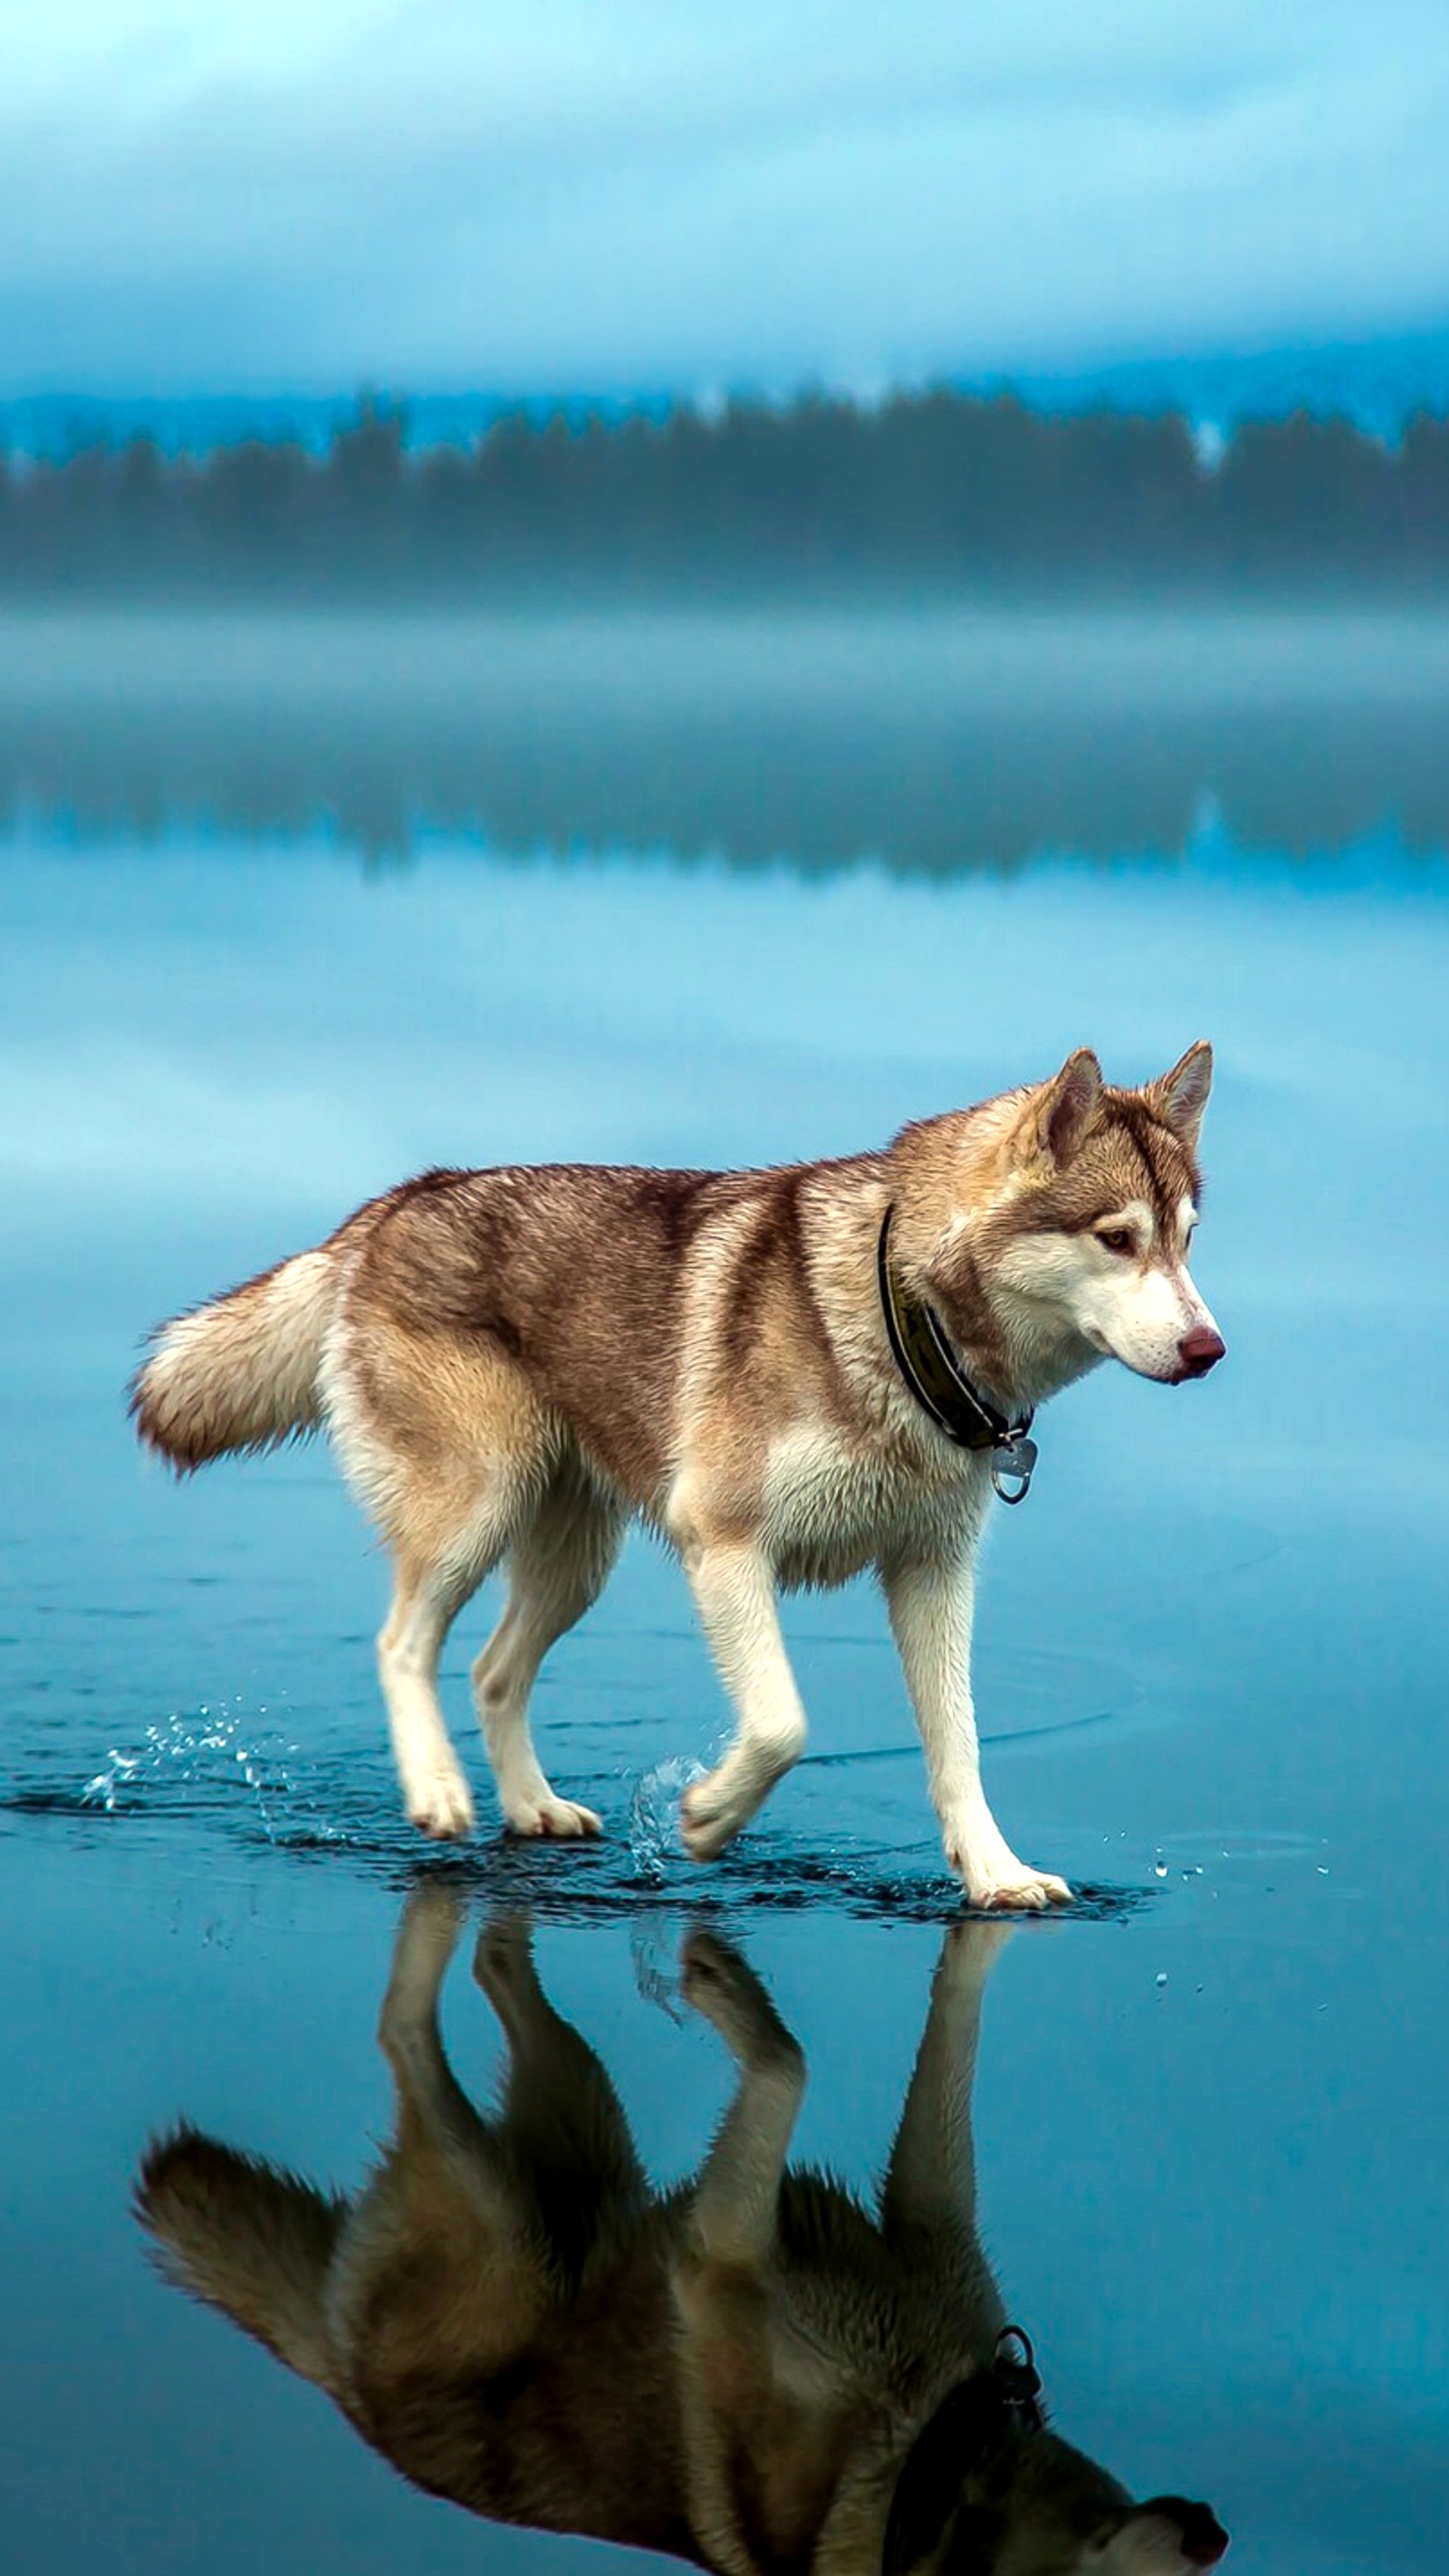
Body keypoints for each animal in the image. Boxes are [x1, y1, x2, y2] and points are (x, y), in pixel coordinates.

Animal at [133, 1045, 1224, 1916]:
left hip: (577, 1560)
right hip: (473, 1513)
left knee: (492, 1672)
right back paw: (439, 1792)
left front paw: (996, 1876)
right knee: (404, 1644)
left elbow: (958, 1748)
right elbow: (782, 1724)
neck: (901, 1319)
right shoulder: (725, 1544)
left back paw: (531, 1808)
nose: (1209, 1349)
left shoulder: (932, 1574)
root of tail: (393, 1203)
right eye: (1116, 1238)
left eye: (1185, 1240)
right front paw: (704, 1819)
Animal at [136, 1896, 1230, 2576]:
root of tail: (338, 2386)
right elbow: (788, 2062)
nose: (1217, 2534)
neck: (933, 2456)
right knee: (404, 2030)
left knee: (498, 1966)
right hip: (509, 2222)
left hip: (580, 2129)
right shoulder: (721, 2254)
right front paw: (720, 1985)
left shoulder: (919, 2221)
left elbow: (943, 2033)